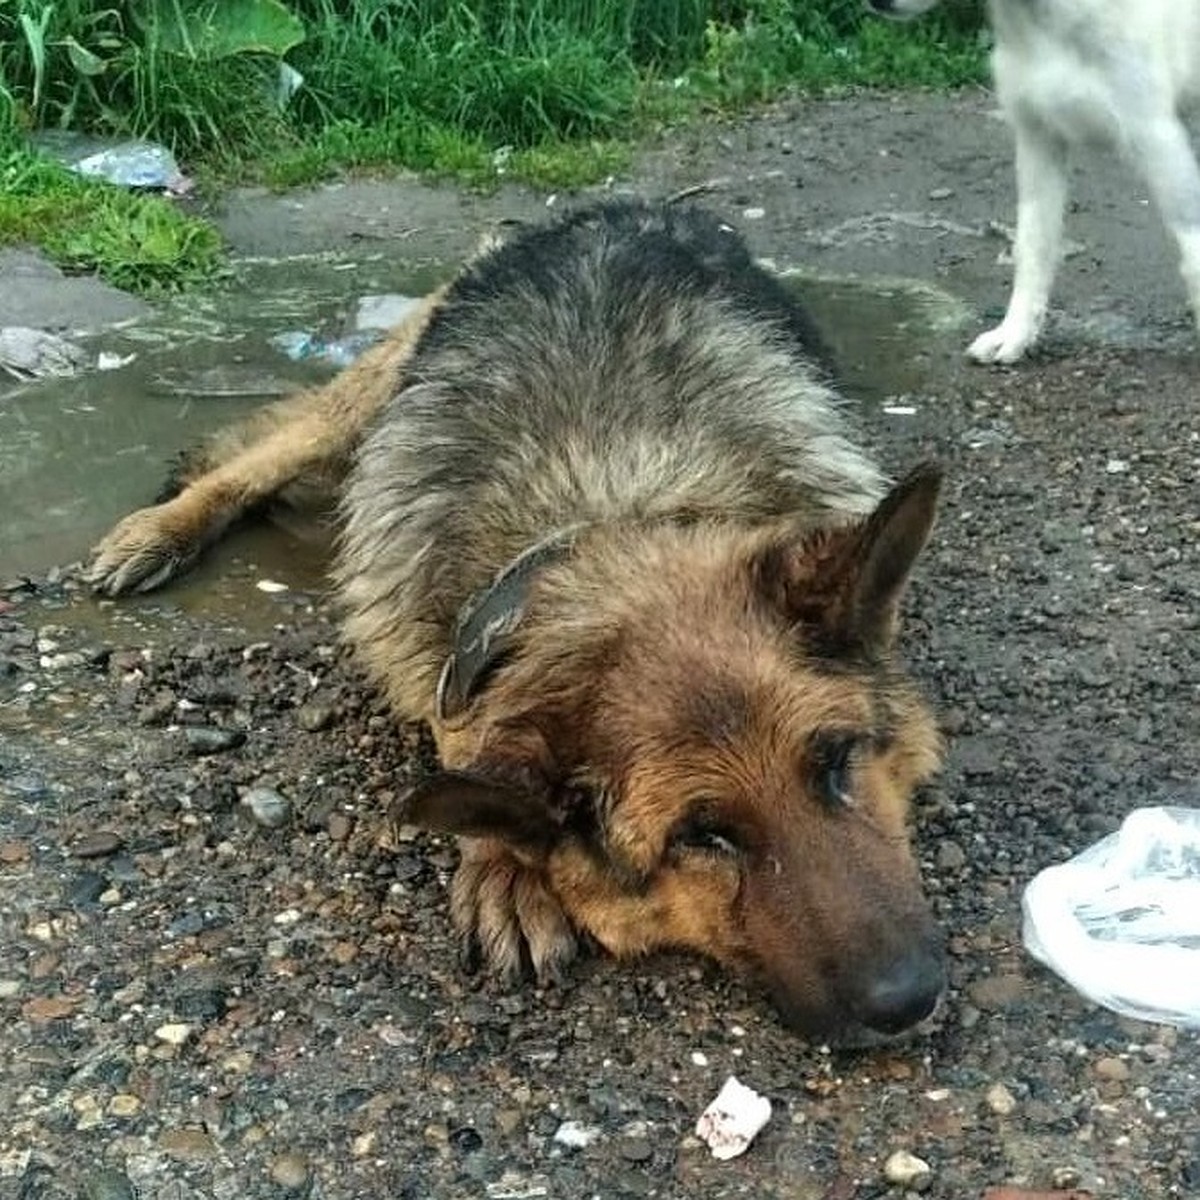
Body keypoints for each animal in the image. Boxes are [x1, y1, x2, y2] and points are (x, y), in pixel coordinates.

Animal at [87, 199, 945, 1041]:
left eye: (837, 759)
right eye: (702, 837)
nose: (911, 1000)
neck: (609, 512)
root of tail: (620, 205)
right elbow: (472, 742)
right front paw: (502, 860)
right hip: (372, 390)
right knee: (256, 460)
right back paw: (158, 532)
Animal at [868, 0, 1200, 360]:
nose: (876, 3)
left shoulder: (1158, 140)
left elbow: (1193, 251)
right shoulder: (1037, 138)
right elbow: (1032, 246)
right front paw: (1015, 334)